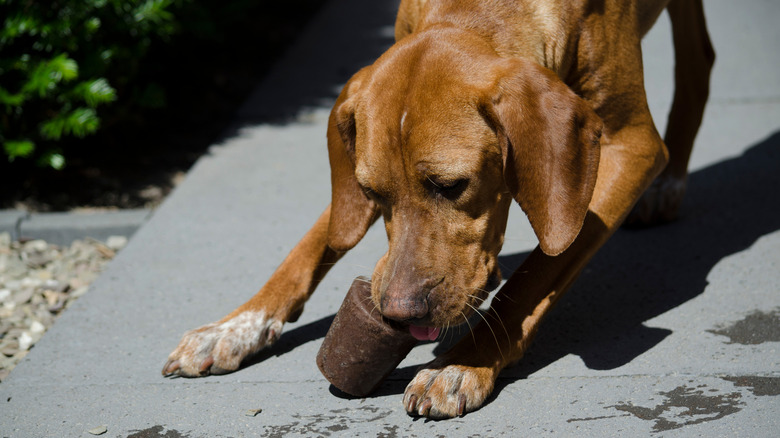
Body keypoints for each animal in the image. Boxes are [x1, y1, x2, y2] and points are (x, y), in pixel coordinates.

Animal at [163, 0, 712, 420]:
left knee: (698, 59)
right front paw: (236, 326)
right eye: (373, 192)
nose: (398, 314)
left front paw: (463, 362)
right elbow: (317, 239)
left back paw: (670, 183)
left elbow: (535, 274)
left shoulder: (629, 146)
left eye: (452, 186)